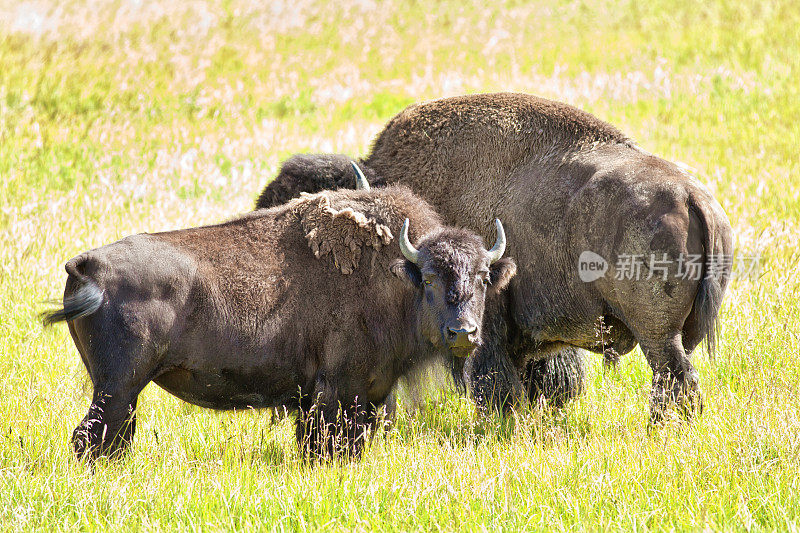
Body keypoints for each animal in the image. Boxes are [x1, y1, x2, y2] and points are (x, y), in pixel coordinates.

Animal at [43, 177, 516, 460]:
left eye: (484, 277)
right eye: (432, 278)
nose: (463, 333)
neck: (400, 275)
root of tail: (87, 265)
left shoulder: (357, 394)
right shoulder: (341, 390)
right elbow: (330, 443)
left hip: (118, 388)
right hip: (119, 385)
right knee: (94, 436)